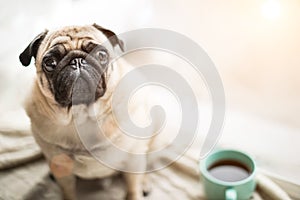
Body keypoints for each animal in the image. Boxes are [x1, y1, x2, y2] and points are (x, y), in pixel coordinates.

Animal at [19, 24, 154, 199]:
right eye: (50, 63)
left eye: (101, 55)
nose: (77, 61)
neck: (81, 114)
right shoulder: (62, 168)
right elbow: (68, 192)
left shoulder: (133, 160)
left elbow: (132, 188)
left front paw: (136, 191)